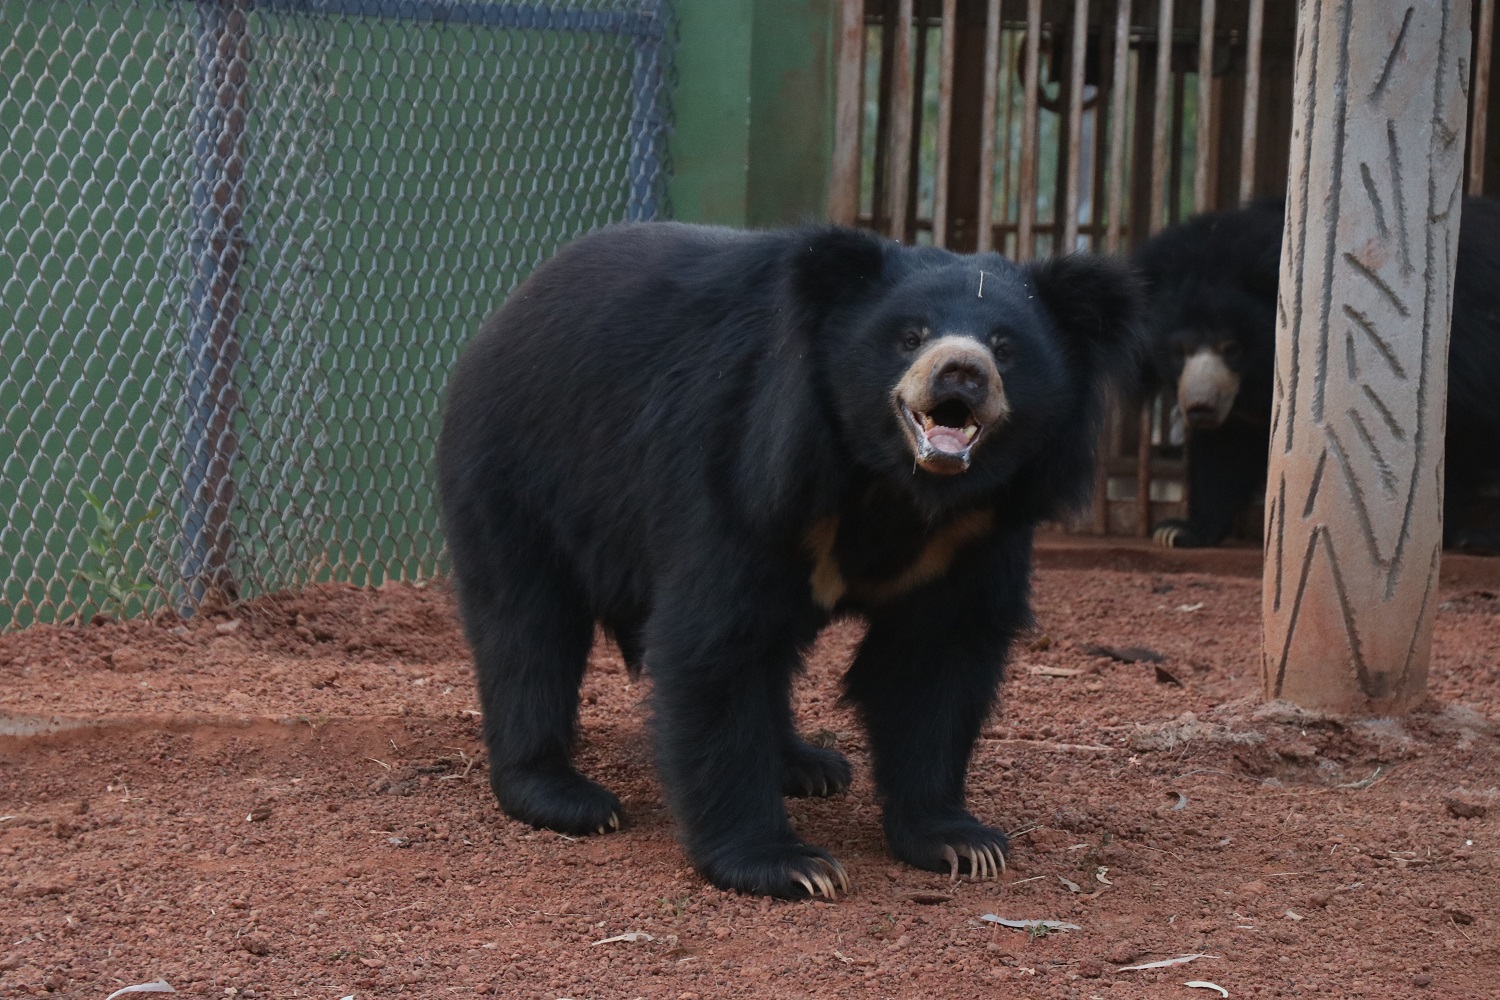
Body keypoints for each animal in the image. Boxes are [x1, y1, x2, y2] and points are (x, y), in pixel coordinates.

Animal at [438, 224, 1140, 899]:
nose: (961, 372)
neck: (901, 488)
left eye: (1005, 345)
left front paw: (960, 842)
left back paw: (808, 765)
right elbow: (712, 644)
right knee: (528, 627)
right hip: (519, 472)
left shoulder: (977, 531)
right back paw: (565, 796)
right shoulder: (747, 463)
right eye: (910, 337)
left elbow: (936, 662)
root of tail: (509, 306)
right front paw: (788, 865)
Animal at [1134, 197, 1500, 551]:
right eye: (1179, 350)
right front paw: (1179, 531)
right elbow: (1225, 449)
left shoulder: (1460, 359)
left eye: (1232, 348)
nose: (1201, 408)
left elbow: (1455, 432)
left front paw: (1445, 530)